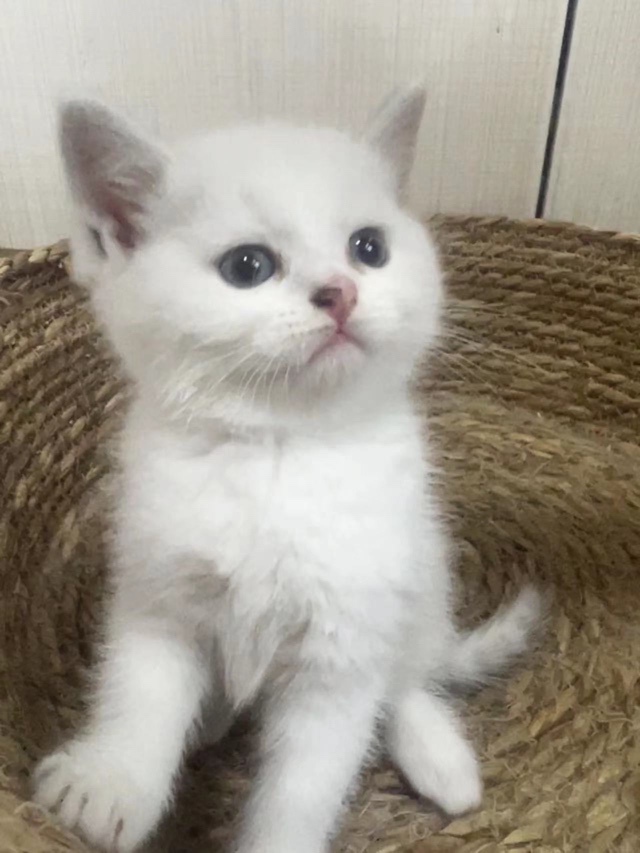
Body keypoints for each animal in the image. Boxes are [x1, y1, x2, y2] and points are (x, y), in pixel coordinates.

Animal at [32, 87, 541, 853]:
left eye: (369, 248)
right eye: (248, 266)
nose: (340, 291)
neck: (277, 450)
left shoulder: (342, 649)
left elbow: (303, 790)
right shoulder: (158, 592)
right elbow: (141, 690)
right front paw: (112, 782)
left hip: (421, 575)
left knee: (407, 674)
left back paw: (438, 754)